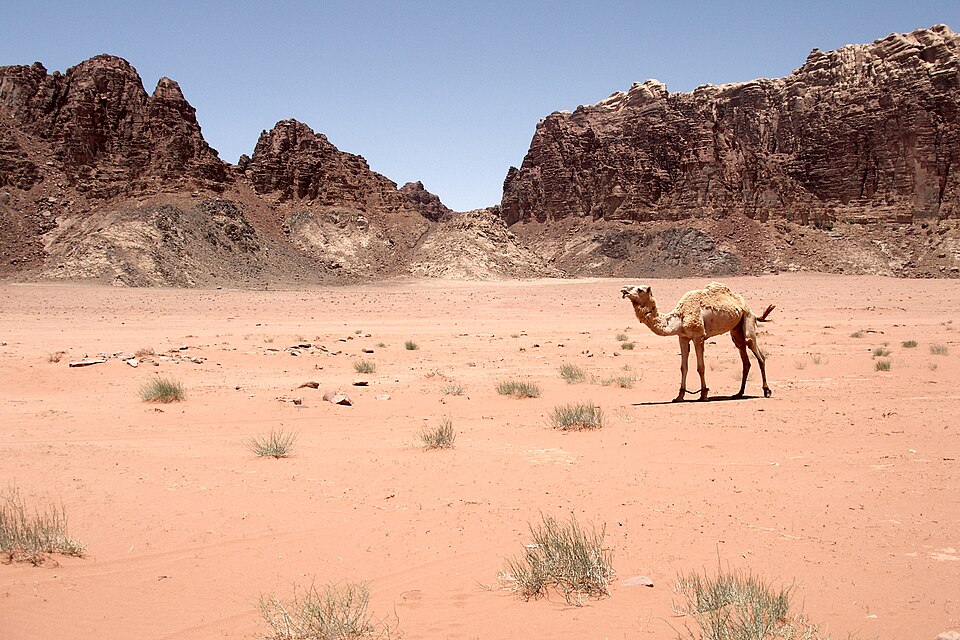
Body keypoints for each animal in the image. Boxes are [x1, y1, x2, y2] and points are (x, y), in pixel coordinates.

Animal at [621, 282, 775, 402]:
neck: (680, 317)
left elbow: (701, 367)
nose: (623, 290)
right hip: (736, 329)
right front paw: (679, 396)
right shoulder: (682, 337)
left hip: (747, 319)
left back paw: (766, 391)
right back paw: (739, 393)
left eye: (640, 289)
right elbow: (683, 367)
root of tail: (751, 310)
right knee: (744, 357)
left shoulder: (698, 336)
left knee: (757, 352)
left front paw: (704, 394)